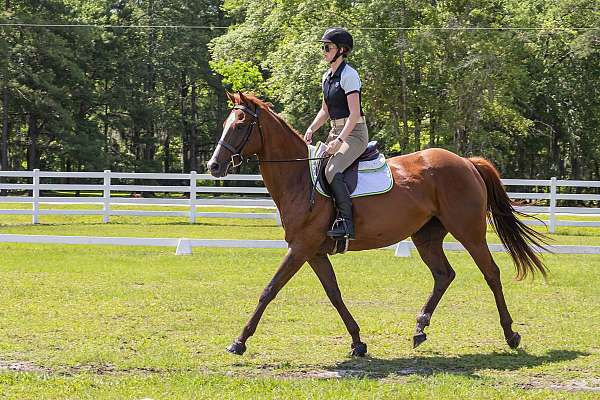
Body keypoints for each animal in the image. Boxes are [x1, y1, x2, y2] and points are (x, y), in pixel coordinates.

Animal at [206, 92, 548, 358]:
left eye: (240, 125)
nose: (214, 166)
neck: (299, 178)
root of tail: (466, 162)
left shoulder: (301, 248)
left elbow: (269, 290)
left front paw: (239, 342)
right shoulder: (314, 252)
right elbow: (334, 294)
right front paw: (358, 343)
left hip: (469, 231)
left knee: (491, 273)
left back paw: (511, 335)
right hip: (426, 236)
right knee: (444, 275)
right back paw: (420, 328)